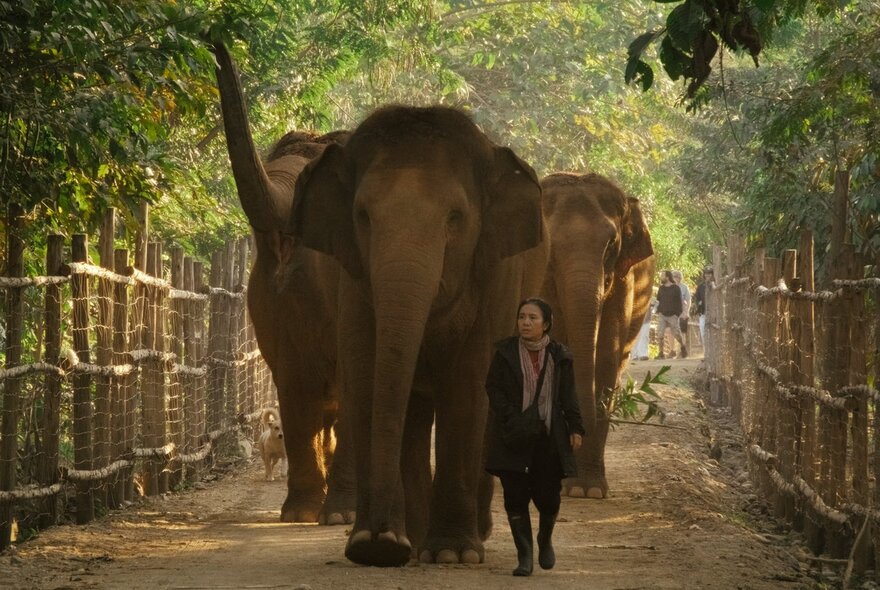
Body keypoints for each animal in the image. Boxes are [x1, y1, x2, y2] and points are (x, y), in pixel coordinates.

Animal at [289, 105, 548, 567]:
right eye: (363, 216)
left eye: (455, 218)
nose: (379, 536)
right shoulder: (352, 280)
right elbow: (368, 377)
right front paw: (374, 546)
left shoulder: (495, 277)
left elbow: (468, 385)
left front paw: (452, 554)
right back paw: (414, 536)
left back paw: (465, 534)